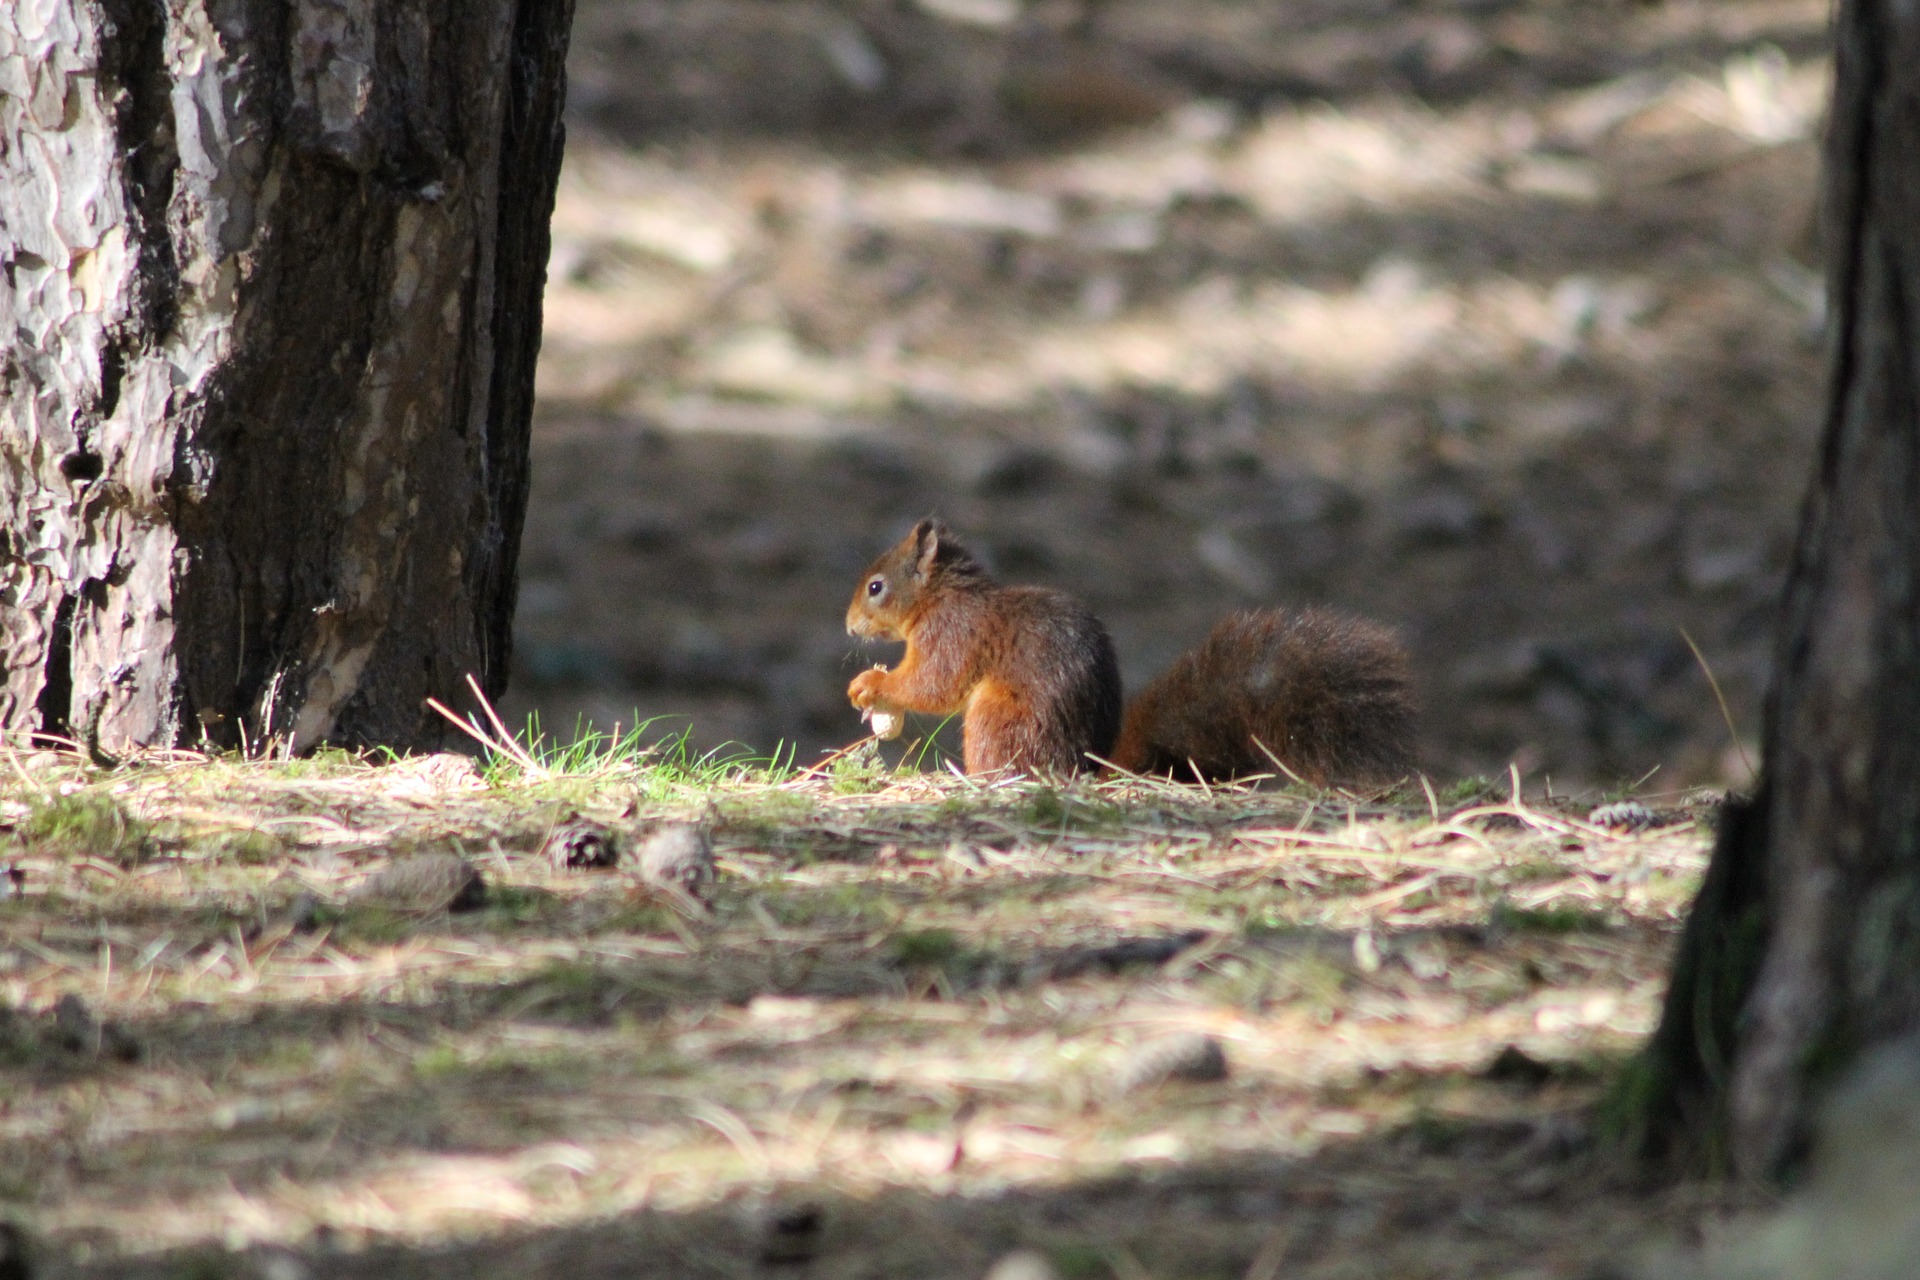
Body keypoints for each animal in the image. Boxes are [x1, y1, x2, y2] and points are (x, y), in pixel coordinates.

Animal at [848, 518, 1420, 782]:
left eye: (876, 587)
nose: (849, 626)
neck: (942, 598)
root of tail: (1085, 767)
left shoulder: (953, 634)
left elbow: (934, 684)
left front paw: (872, 685)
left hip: (997, 716)